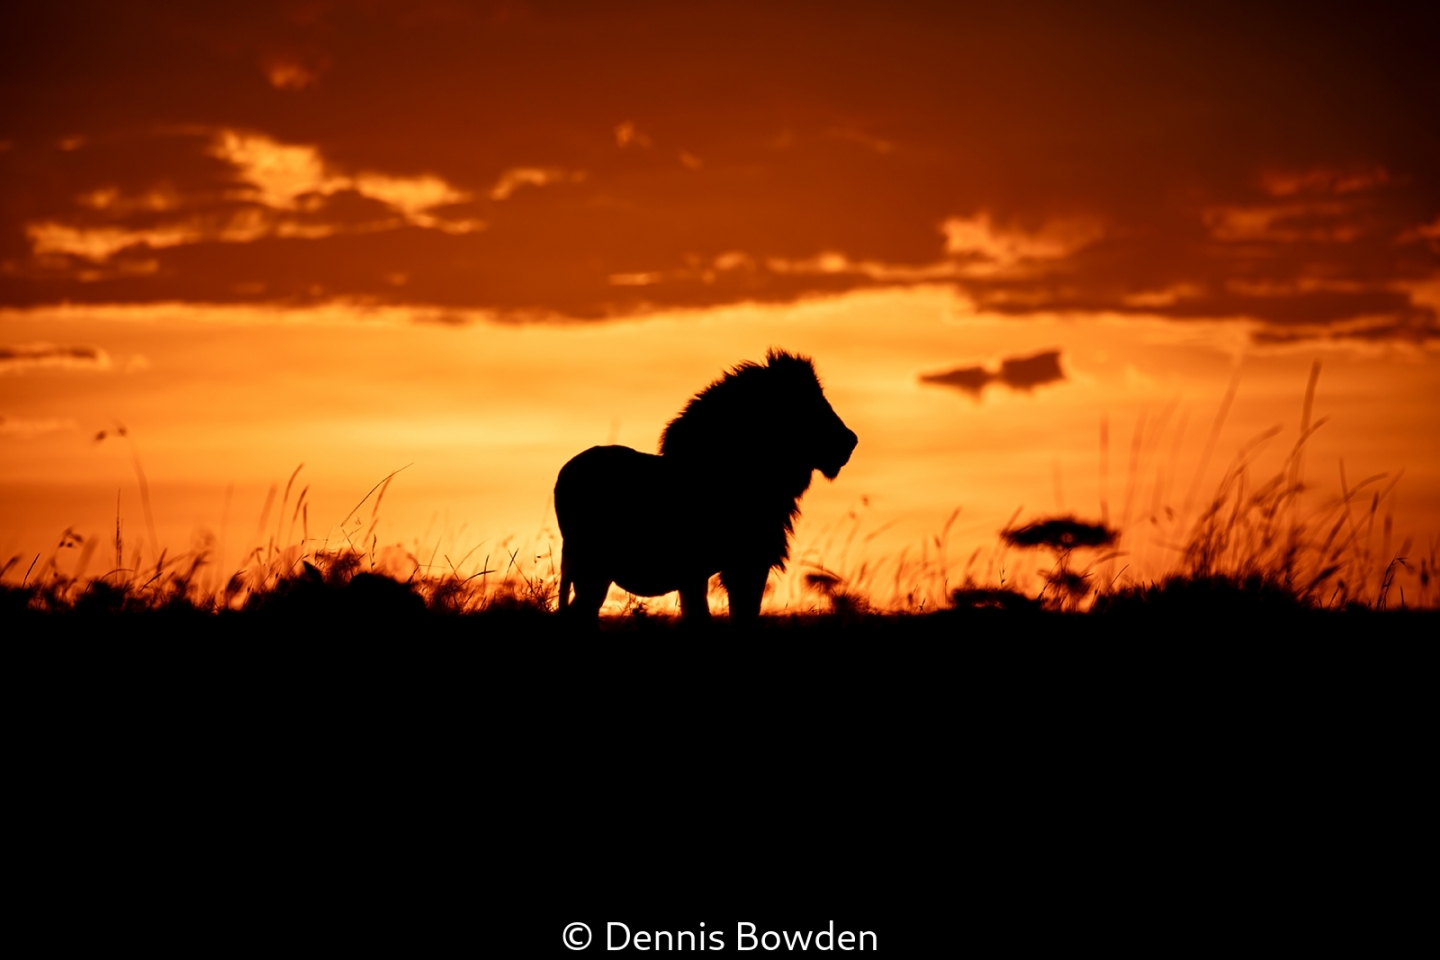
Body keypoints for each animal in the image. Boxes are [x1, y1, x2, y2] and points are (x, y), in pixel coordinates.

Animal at [554, 349, 858, 625]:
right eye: (809, 404)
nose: (851, 440)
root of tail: (565, 474)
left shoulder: (701, 573)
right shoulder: (743, 564)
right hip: (593, 566)